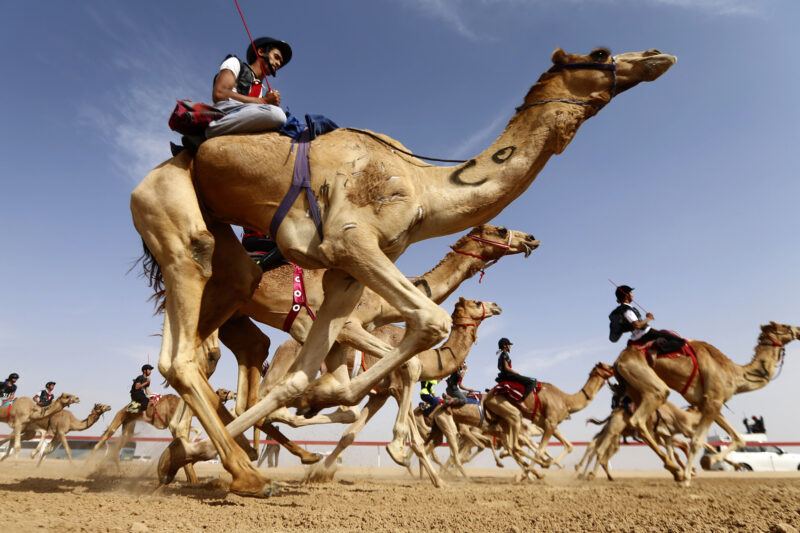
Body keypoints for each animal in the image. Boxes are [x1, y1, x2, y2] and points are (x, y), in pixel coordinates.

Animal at [483, 362, 614, 477]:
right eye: (608, 366)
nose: (614, 368)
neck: (566, 401)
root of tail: (487, 398)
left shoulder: (551, 425)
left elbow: (569, 446)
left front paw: (553, 464)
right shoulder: (550, 423)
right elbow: (540, 450)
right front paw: (532, 471)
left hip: (504, 419)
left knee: (511, 447)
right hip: (507, 409)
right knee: (515, 444)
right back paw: (535, 469)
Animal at [613, 321, 800, 486]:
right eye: (784, 325)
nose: (798, 329)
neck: (734, 373)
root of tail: (617, 362)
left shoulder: (709, 403)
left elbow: (738, 439)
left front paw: (710, 462)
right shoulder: (713, 401)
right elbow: (697, 440)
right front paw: (688, 477)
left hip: (635, 390)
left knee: (647, 427)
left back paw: (674, 469)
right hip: (651, 384)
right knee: (642, 416)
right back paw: (676, 470)